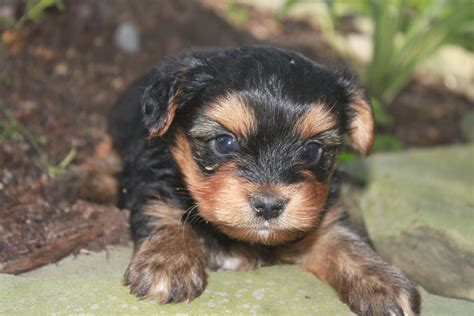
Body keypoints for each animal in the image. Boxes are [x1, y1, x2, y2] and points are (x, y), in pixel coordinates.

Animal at [109, 45, 420, 314]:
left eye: (312, 150)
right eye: (224, 143)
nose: (269, 206)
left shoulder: (326, 212)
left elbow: (343, 238)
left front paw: (381, 280)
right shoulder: (154, 177)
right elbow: (162, 211)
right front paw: (169, 260)